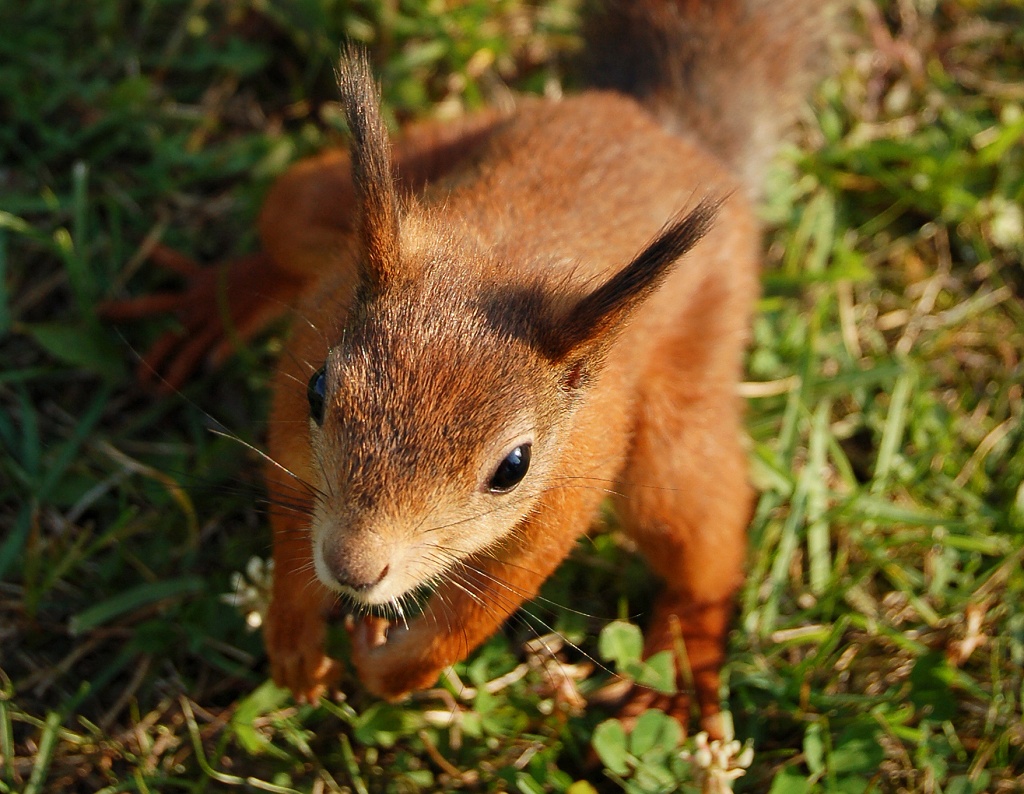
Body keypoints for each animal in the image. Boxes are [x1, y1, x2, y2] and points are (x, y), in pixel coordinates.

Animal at [103, 0, 831, 737]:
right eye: (319, 392)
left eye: (514, 467)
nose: (351, 569)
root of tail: (657, 122)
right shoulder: (298, 391)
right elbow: (288, 509)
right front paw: (293, 633)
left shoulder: (568, 485)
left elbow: (483, 608)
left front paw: (390, 669)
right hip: (347, 187)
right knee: (287, 233)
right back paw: (214, 304)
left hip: (693, 377)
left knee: (700, 533)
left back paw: (679, 664)